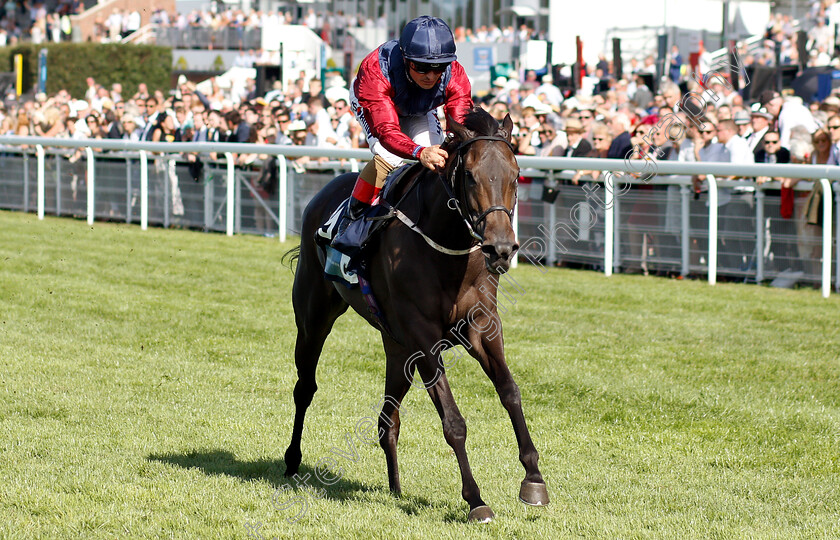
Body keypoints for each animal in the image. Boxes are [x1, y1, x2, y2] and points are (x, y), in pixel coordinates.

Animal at [284, 107, 552, 520]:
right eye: (470, 175)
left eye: (516, 173)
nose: (501, 248)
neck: (446, 247)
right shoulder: (425, 338)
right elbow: (453, 421)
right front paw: (476, 500)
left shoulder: (483, 327)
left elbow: (510, 392)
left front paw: (534, 479)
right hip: (314, 319)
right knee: (305, 387)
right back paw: (292, 459)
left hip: (397, 349)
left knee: (386, 420)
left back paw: (395, 490)